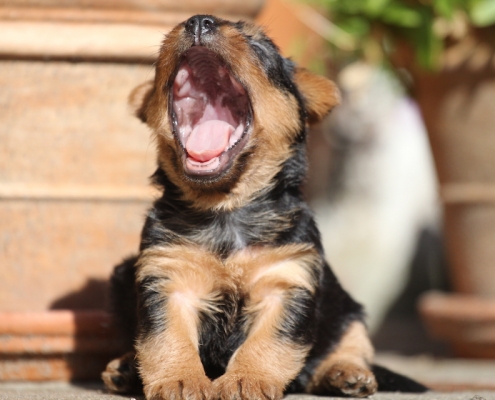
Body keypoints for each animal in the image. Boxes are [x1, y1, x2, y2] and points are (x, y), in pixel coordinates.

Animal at [101, 14, 430, 398]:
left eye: (258, 47)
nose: (198, 21)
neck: (226, 209)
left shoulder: (287, 280)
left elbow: (269, 342)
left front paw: (246, 379)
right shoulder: (167, 276)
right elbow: (167, 336)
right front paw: (179, 379)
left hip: (348, 311)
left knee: (349, 346)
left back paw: (345, 373)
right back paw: (125, 369)